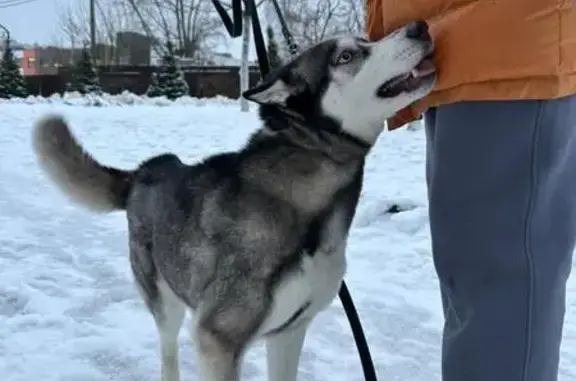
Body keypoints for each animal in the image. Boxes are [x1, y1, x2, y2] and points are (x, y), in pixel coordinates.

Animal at [32, 20, 436, 380]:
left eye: (365, 40)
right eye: (347, 56)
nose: (420, 26)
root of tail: (145, 170)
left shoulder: (290, 332)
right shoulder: (218, 339)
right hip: (166, 301)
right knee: (168, 355)